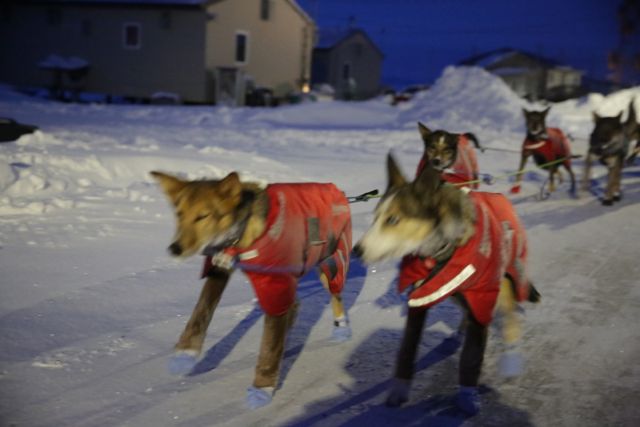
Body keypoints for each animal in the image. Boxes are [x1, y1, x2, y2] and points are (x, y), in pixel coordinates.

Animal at [151, 171, 352, 409]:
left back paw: (341, 328)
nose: (175, 248)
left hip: (329, 261)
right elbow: (200, 312)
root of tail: (337, 190)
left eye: (203, 216)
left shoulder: (275, 284)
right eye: (179, 214)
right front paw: (185, 354)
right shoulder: (219, 268)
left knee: (335, 294)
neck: (242, 234)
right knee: (294, 304)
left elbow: (270, 344)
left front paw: (261, 389)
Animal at [353, 154, 539, 415]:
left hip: (505, 281)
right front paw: (399, 389)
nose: (356, 251)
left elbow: (471, 355)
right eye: (375, 217)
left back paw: (510, 358)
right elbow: (407, 348)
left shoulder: (482, 296)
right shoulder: (420, 295)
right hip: (452, 291)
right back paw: (459, 332)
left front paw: (467, 395)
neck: (440, 249)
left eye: (392, 219)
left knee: (510, 314)